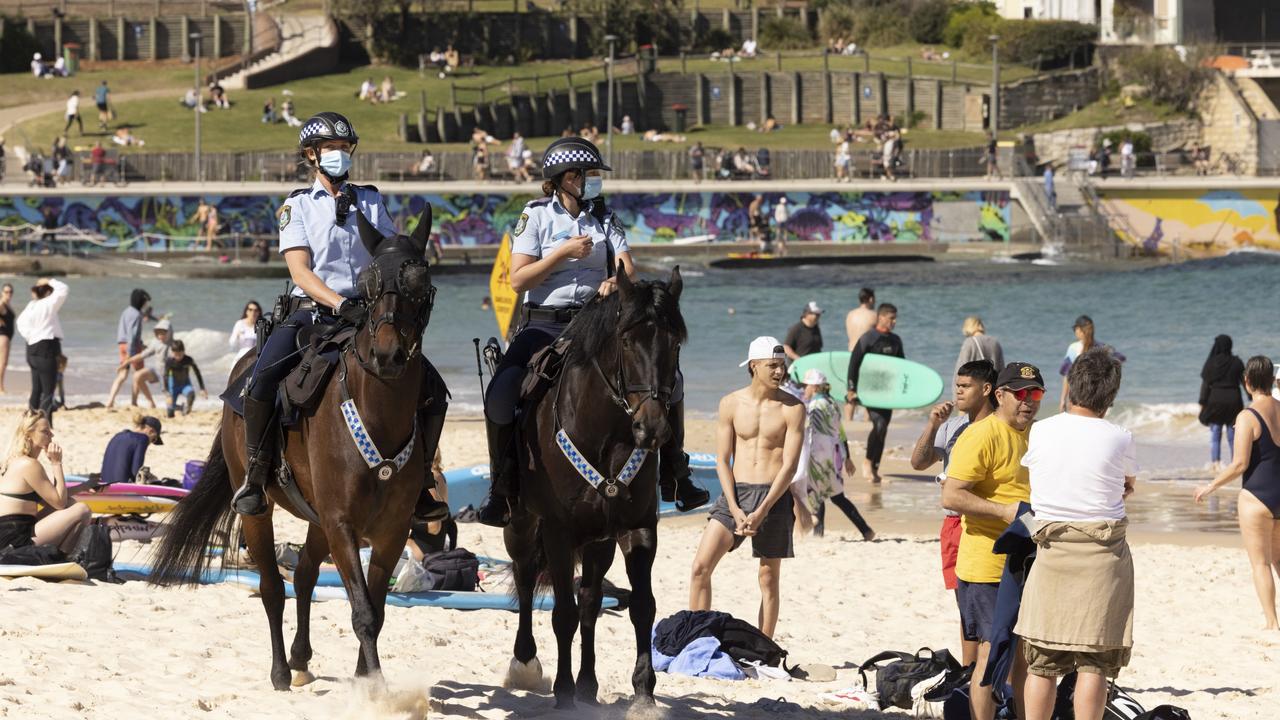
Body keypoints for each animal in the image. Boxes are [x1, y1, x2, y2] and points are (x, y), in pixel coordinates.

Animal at [146, 204, 440, 686]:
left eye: (419, 280)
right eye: (369, 281)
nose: (388, 356)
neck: (377, 414)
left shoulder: (391, 531)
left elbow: (375, 610)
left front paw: (366, 678)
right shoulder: (342, 525)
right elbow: (361, 611)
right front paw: (375, 689)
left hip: (317, 519)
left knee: (302, 576)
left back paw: (301, 658)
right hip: (261, 511)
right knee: (272, 587)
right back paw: (282, 670)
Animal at [501, 266, 691, 707]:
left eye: (674, 342)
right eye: (626, 340)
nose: (653, 429)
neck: (607, 435)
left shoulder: (638, 527)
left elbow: (641, 605)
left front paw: (643, 693)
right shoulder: (557, 532)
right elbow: (562, 613)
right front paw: (563, 691)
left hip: (598, 539)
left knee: (590, 599)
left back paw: (588, 684)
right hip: (521, 523)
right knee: (525, 576)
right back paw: (525, 662)